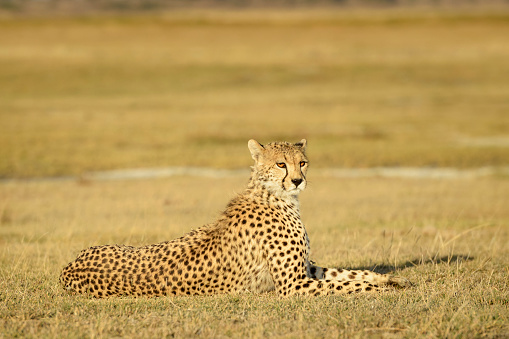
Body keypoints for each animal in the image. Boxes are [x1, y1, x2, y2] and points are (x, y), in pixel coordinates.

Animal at [59, 139, 410, 298]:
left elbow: (349, 273)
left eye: (302, 162)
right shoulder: (292, 284)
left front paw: (392, 280)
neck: (277, 196)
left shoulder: (306, 269)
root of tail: (68, 268)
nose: (298, 181)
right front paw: (384, 290)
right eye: (281, 164)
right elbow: (347, 285)